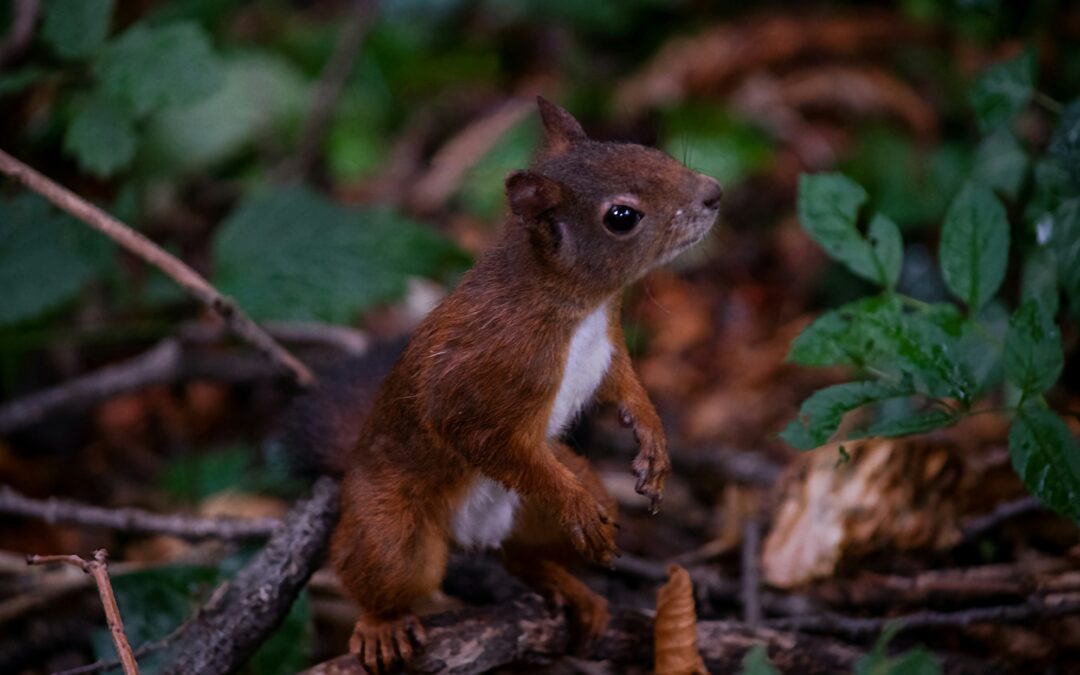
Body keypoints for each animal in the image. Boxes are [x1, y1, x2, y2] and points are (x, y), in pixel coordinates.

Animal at [289, 97, 722, 672]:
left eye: (643, 149)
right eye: (621, 217)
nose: (714, 193)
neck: (578, 306)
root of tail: (472, 536)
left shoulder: (608, 347)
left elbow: (624, 385)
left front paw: (652, 441)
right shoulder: (479, 372)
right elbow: (474, 433)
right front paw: (575, 501)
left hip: (546, 510)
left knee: (523, 554)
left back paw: (571, 587)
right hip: (393, 525)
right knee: (380, 564)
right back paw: (382, 625)